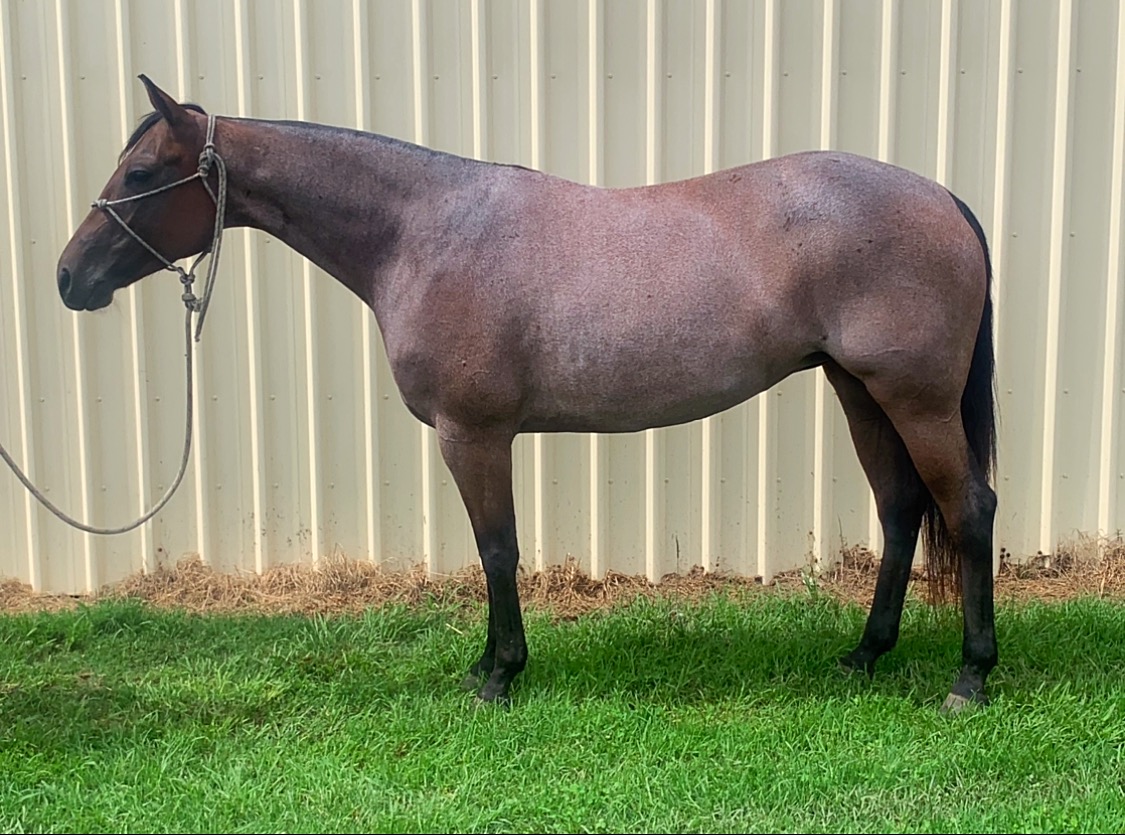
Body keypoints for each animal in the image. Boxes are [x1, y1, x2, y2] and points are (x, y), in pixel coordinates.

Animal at [56, 75, 998, 714]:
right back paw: (864, 655)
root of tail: (942, 198)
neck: (421, 232)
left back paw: (969, 675)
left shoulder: (471, 433)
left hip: (912, 398)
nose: (69, 277)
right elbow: (493, 552)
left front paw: (499, 674)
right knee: (900, 510)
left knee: (968, 509)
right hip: (859, 391)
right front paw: (488, 663)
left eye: (143, 172)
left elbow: (496, 550)